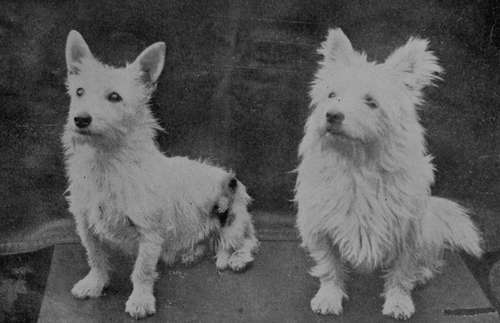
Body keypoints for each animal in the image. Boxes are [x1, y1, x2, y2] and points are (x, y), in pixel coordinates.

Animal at [62, 31, 258, 322]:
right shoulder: (86, 225)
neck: (107, 161)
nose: (80, 119)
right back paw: (191, 253)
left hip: (232, 219)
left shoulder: (150, 233)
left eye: (114, 97)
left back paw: (237, 258)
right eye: (79, 92)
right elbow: (95, 257)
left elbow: (142, 269)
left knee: (247, 243)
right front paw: (95, 283)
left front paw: (141, 299)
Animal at [294, 28, 482, 322]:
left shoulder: (409, 232)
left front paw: (399, 300)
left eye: (371, 102)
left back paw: (422, 273)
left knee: (427, 259)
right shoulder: (320, 226)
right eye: (332, 95)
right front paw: (329, 296)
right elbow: (329, 265)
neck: (358, 164)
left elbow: (402, 272)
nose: (332, 115)